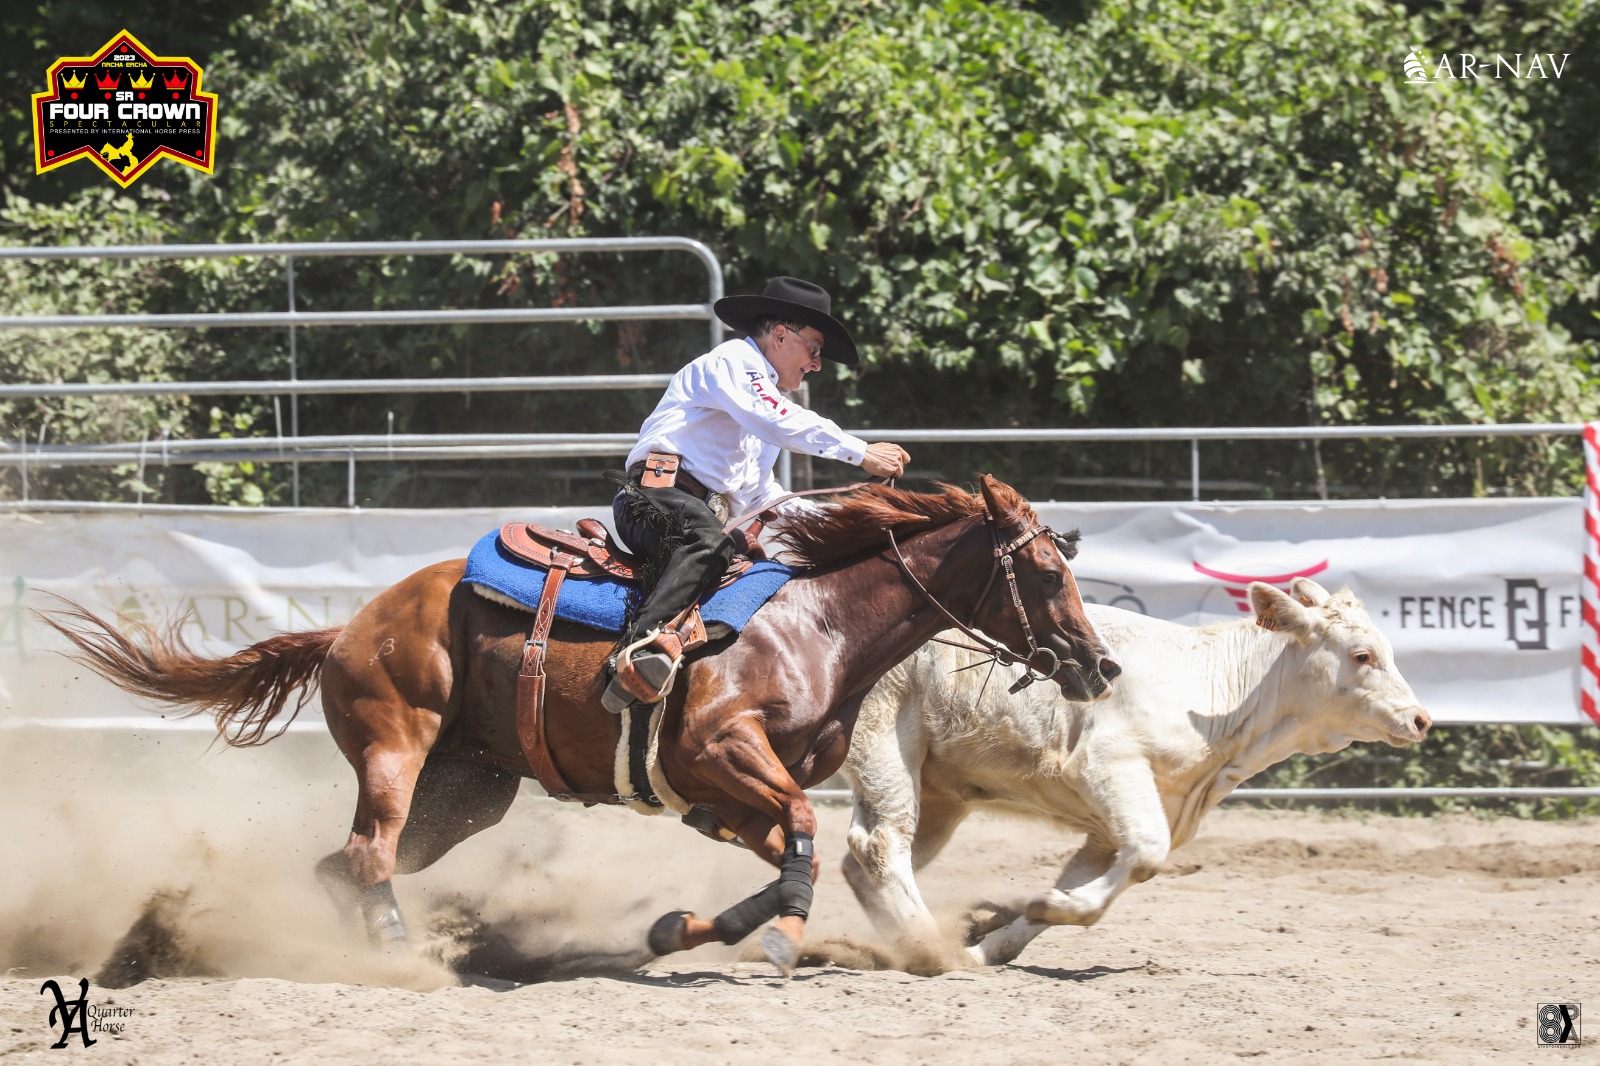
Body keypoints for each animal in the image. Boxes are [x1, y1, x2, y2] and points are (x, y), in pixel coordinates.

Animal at [41, 476, 1120, 973]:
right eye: (1041, 570)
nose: (1100, 664)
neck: (814, 627)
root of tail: (349, 624)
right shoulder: (721, 753)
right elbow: (804, 842)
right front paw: (767, 940)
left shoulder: (723, 797)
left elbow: (788, 858)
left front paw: (686, 927)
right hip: (395, 749)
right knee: (368, 850)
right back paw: (398, 962)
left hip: (467, 791)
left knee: (341, 863)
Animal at [839, 577, 1432, 970]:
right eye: (1362, 655)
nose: (1420, 719)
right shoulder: (1110, 763)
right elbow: (1147, 854)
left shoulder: (1110, 828)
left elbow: (1078, 886)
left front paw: (1003, 934)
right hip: (885, 740)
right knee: (880, 843)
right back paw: (927, 946)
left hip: (944, 795)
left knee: (865, 861)